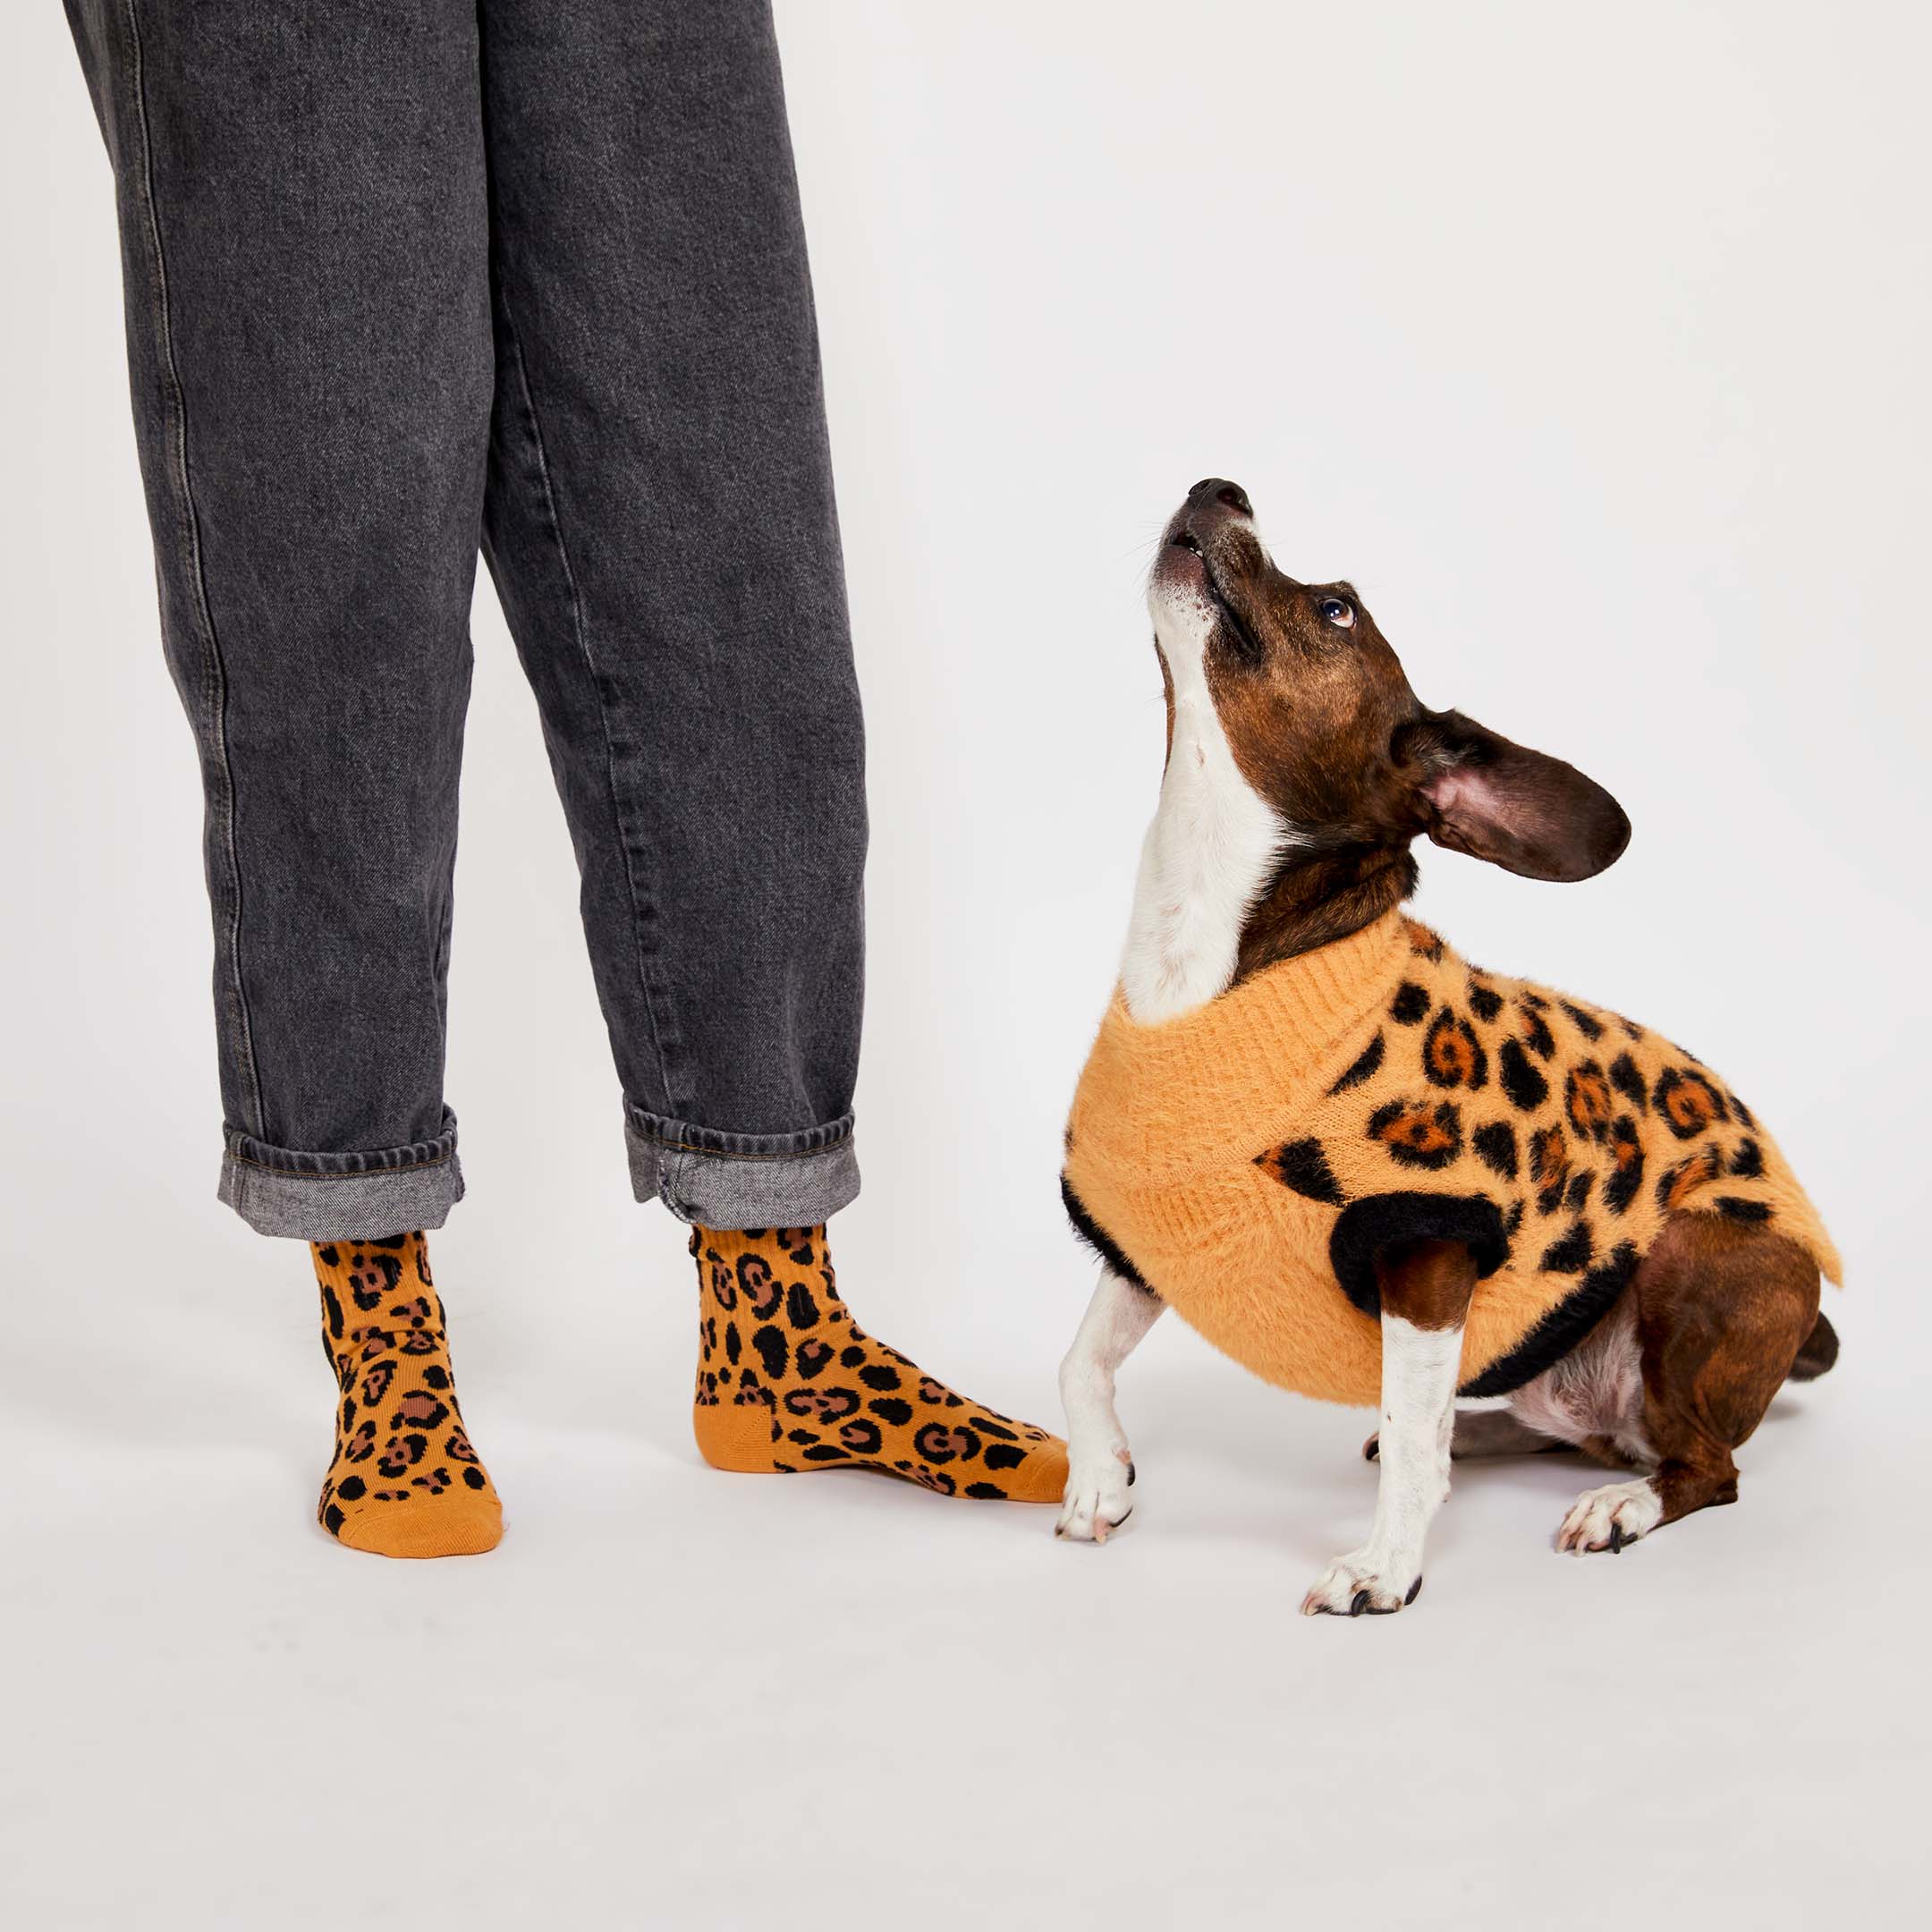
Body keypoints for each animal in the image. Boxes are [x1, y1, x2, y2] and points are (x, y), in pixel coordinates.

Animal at [1058, 479, 1839, 1614]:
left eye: (1337, 609)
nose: (1220, 487)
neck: (1213, 950)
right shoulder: (1149, 1237)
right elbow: (1079, 1361)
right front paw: (1099, 1477)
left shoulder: (1424, 1250)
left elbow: (1411, 1416)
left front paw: (1385, 1567)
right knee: (1567, 1430)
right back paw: (1489, 1436)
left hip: (1702, 1254)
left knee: (1701, 1465)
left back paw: (1622, 1506)